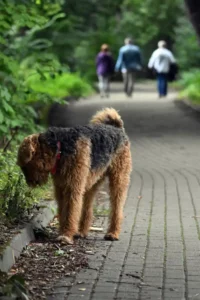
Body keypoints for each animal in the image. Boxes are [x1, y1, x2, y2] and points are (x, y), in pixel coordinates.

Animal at [17, 108, 133, 244]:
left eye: (25, 166)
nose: (29, 182)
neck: (60, 148)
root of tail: (116, 127)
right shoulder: (61, 188)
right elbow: (63, 211)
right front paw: (63, 232)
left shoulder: (72, 187)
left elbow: (70, 211)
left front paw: (66, 235)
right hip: (91, 181)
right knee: (87, 209)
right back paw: (81, 231)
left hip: (118, 178)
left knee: (117, 208)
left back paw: (112, 233)